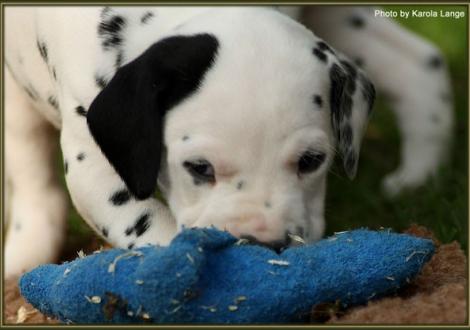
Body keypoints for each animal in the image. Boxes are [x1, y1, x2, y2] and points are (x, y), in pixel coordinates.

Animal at [3, 6, 452, 278]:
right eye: (199, 168)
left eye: (311, 160)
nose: (264, 244)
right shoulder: (93, 163)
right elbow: (150, 225)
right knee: (32, 172)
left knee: (422, 65)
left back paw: (419, 181)